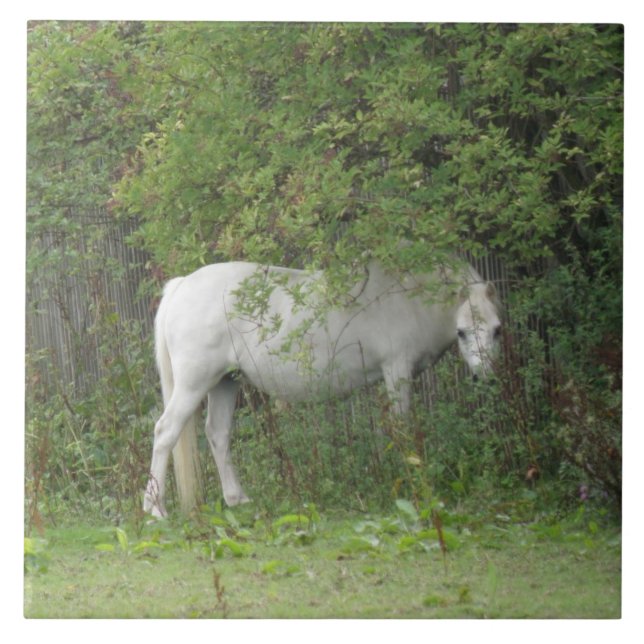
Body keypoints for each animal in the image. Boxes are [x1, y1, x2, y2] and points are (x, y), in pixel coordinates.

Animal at [143, 258, 502, 518]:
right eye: (462, 332)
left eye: (497, 330)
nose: (485, 378)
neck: (408, 296)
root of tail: (182, 285)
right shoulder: (397, 370)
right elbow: (401, 428)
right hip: (194, 383)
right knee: (165, 432)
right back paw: (155, 509)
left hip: (225, 382)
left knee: (218, 434)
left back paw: (237, 500)